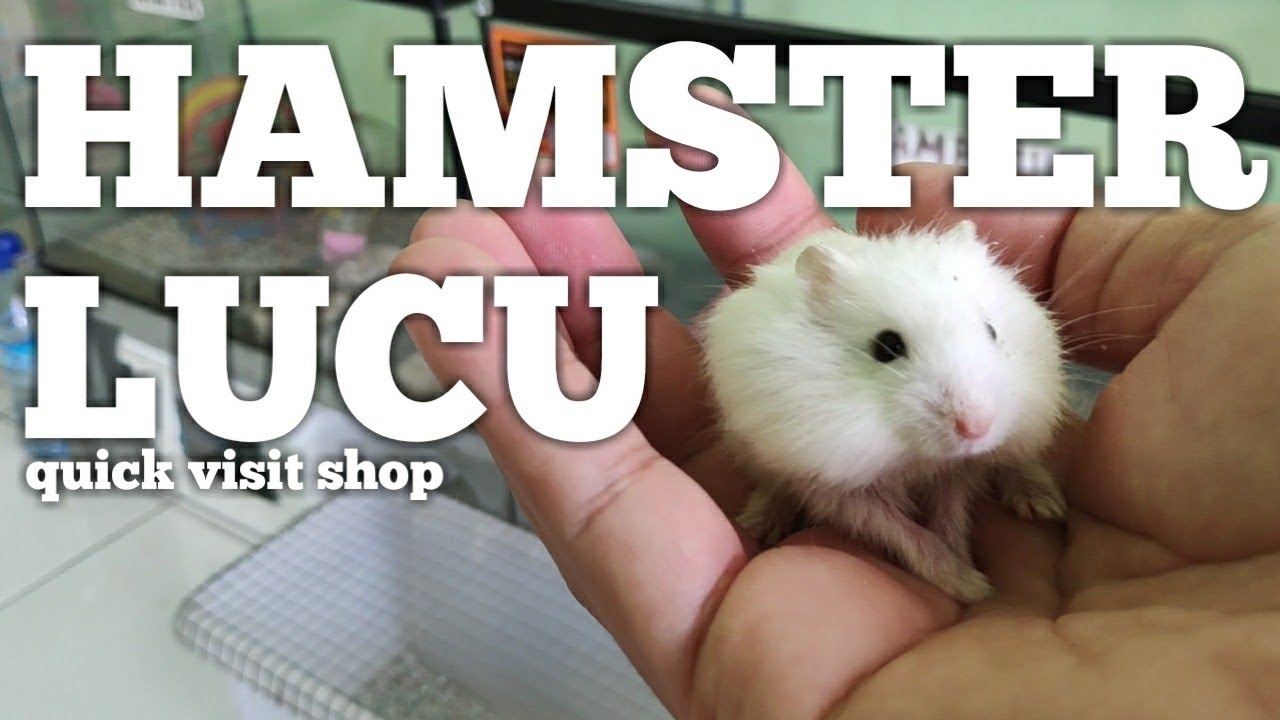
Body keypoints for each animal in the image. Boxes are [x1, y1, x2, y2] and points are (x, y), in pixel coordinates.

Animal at [701, 221, 1067, 602]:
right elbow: (902, 531)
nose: (976, 429)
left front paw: (970, 578)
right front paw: (969, 585)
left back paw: (1045, 506)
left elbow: (950, 512)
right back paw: (757, 523)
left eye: (992, 330)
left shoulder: (959, 470)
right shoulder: (836, 487)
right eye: (886, 346)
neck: (916, 456)